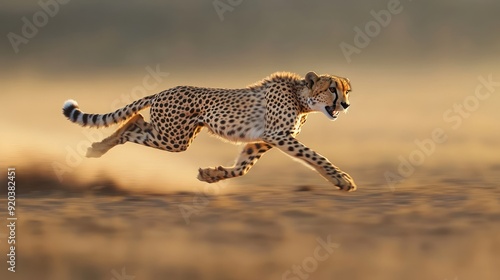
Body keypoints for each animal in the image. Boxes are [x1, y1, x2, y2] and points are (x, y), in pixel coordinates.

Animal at [62, 71, 358, 191]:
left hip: (175, 134)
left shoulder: (263, 140)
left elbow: (242, 168)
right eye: (332, 88)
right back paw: (97, 149)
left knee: (134, 120)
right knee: (132, 122)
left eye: (347, 91)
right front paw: (342, 179)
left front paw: (211, 175)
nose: (345, 104)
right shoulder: (277, 135)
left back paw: (97, 147)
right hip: (174, 138)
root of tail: (161, 91)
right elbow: (315, 156)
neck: (301, 98)